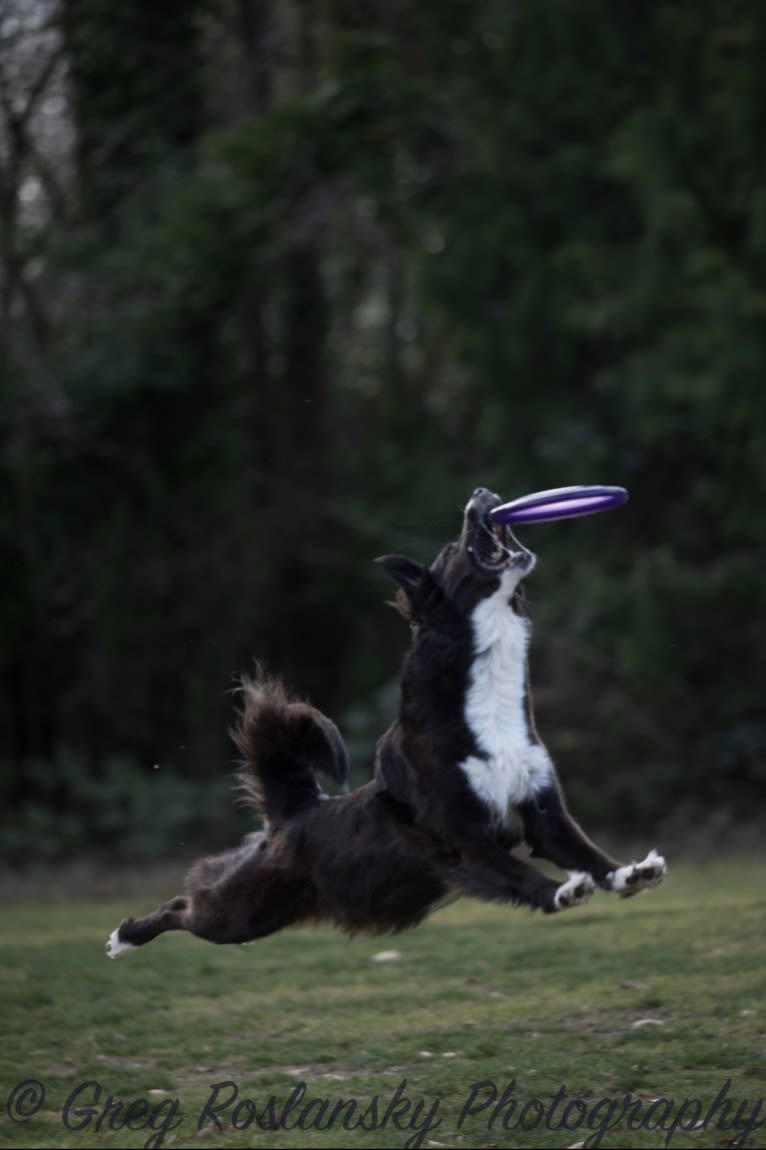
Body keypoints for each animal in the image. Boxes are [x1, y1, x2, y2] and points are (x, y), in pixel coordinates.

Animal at [105, 487, 662, 961]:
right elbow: (516, 871)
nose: (482, 492)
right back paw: (124, 937)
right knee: (184, 906)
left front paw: (630, 873)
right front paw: (561, 890)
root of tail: (292, 813)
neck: (481, 711)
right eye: (451, 547)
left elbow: (585, 850)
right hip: (241, 910)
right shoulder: (460, 837)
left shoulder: (542, 810)